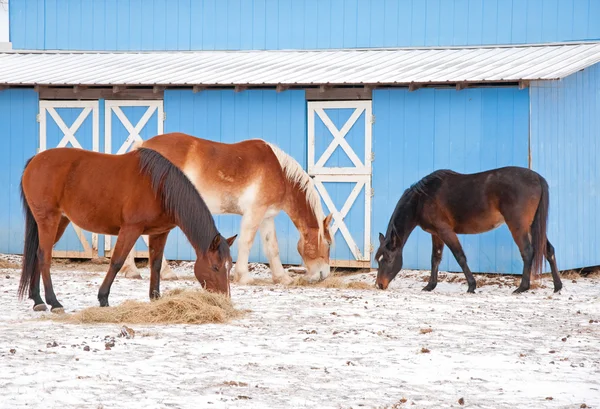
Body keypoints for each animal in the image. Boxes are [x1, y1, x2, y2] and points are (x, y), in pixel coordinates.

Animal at [17, 147, 237, 310]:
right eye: (215, 267)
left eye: (229, 267)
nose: (225, 300)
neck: (159, 186)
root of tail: (35, 160)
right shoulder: (131, 229)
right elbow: (117, 261)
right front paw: (103, 298)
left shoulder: (159, 233)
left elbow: (156, 264)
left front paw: (155, 297)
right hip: (48, 219)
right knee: (44, 256)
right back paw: (53, 302)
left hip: (59, 221)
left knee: (36, 254)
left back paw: (37, 300)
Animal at [118, 131, 332, 284]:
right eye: (328, 244)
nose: (324, 274)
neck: (279, 171)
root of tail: (142, 147)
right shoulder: (254, 213)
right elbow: (246, 242)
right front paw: (243, 276)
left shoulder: (266, 217)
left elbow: (272, 247)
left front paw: (282, 277)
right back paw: (163, 272)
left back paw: (132, 271)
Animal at [376, 166, 564, 294]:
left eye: (388, 259)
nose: (380, 284)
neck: (422, 198)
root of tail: (537, 177)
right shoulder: (436, 234)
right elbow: (435, 258)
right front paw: (430, 286)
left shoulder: (446, 232)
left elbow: (460, 257)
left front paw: (472, 286)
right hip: (533, 227)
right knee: (548, 250)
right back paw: (557, 286)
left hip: (518, 226)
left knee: (527, 252)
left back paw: (522, 287)